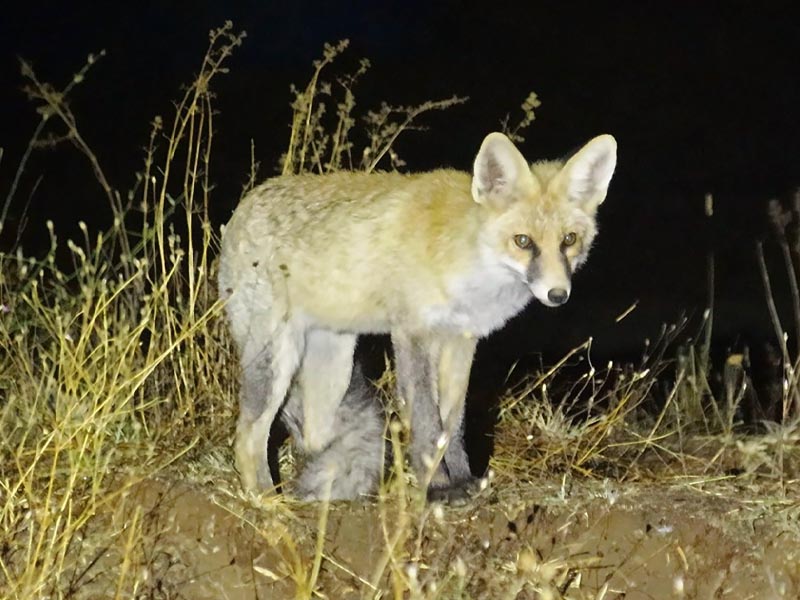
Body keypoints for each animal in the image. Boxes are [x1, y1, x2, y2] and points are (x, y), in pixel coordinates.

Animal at [219, 132, 620, 502]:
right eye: (523, 242)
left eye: (569, 240)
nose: (558, 294)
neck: (468, 266)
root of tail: (242, 207)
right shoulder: (413, 333)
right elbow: (427, 422)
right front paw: (437, 487)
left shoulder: (461, 340)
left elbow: (452, 423)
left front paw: (462, 480)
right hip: (276, 359)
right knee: (248, 433)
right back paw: (266, 501)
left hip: (332, 367)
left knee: (311, 435)